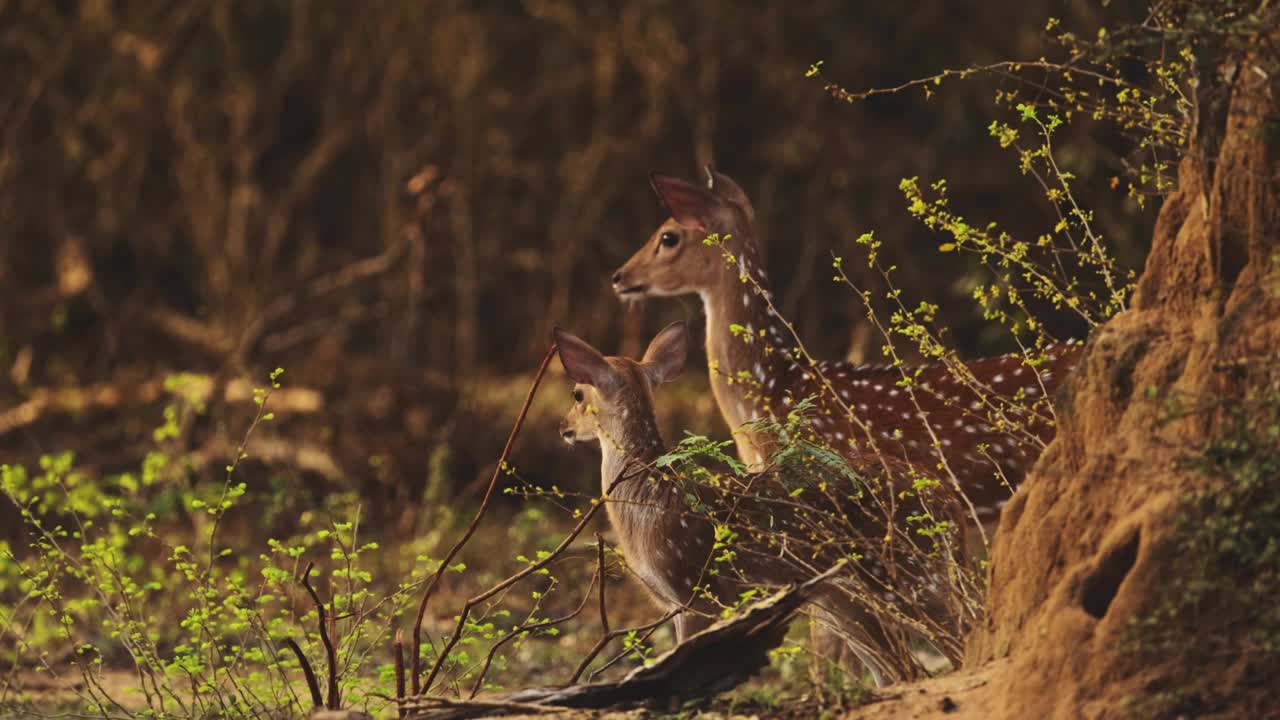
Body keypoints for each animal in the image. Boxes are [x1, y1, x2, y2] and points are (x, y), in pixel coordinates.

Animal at [555, 320, 957, 681]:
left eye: (577, 394)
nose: (564, 428)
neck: (648, 499)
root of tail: (944, 497)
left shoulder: (695, 589)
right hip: (844, 600)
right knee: (899, 670)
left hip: (909, 575)